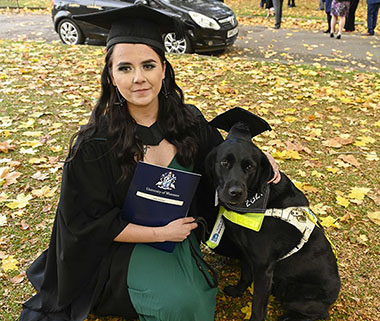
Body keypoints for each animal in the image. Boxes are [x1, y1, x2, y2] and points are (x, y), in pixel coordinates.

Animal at [206, 108, 340, 320]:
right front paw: (238, 291)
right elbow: (245, 275)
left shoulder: (263, 268)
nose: (235, 192)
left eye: (250, 167)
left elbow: (258, 307)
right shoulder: (247, 254)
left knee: (318, 313)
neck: (254, 202)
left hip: (293, 293)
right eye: (224, 163)